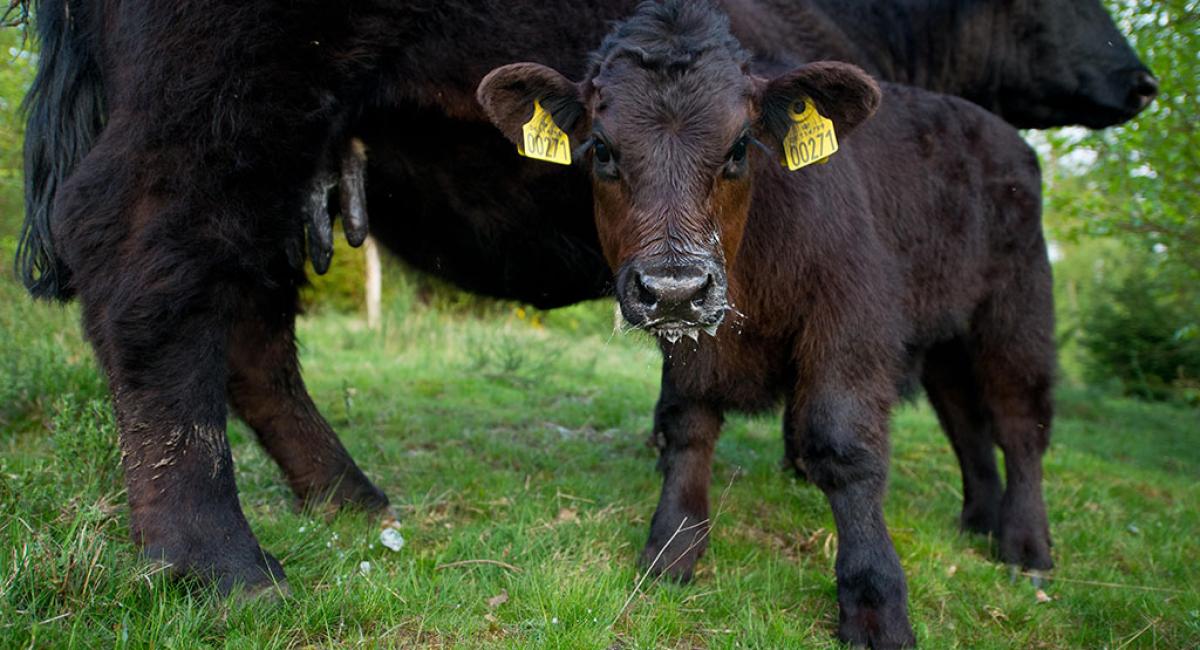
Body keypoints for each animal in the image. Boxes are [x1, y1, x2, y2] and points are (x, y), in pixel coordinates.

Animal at [477, 2, 1060, 647]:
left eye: (739, 147)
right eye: (601, 149)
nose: (675, 285)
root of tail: (1009, 139)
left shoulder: (851, 320)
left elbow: (842, 445)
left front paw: (875, 603)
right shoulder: (691, 338)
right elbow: (686, 427)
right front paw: (670, 553)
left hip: (1017, 309)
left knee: (1019, 421)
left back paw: (1025, 547)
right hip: (948, 336)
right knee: (965, 420)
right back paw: (978, 520)